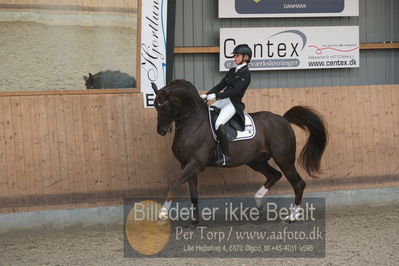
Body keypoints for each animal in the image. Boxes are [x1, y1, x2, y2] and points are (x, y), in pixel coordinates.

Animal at [152, 79, 326, 222]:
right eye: (154, 105)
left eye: (164, 106)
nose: (162, 130)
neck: (193, 123)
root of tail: (283, 119)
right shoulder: (186, 164)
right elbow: (193, 193)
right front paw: (194, 222)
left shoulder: (195, 164)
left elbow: (174, 184)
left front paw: (162, 213)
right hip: (256, 161)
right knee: (274, 175)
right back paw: (259, 204)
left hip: (283, 159)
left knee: (298, 183)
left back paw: (292, 217)